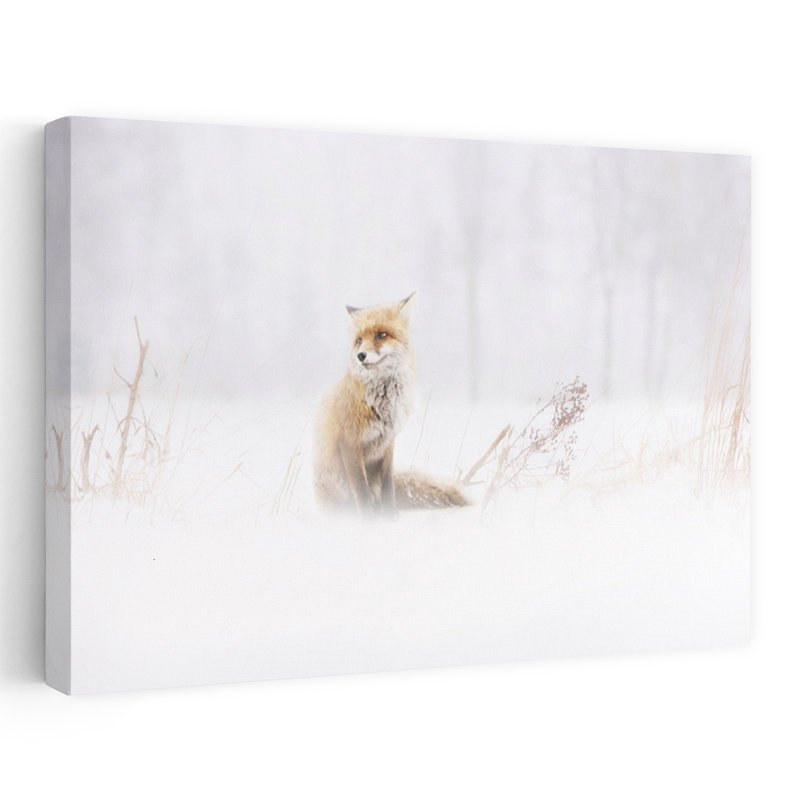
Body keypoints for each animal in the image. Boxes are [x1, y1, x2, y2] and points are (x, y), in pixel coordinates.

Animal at [314, 292, 468, 515]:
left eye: (382, 335)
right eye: (359, 341)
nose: (360, 356)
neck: (383, 405)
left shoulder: (388, 442)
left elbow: (388, 485)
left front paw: (390, 517)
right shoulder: (349, 442)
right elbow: (361, 490)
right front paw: (368, 519)